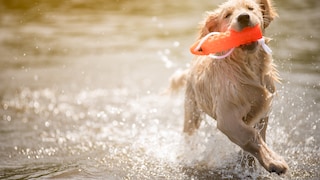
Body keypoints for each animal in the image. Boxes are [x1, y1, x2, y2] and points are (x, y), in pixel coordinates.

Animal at [171, 0, 288, 175]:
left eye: (250, 8)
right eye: (227, 15)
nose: (244, 17)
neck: (247, 66)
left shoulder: (263, 108)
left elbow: (259, 133)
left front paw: (249, 164)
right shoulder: (227, 117)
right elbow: (250, 135)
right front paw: (274, 161)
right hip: (192, 110)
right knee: (189, 132)